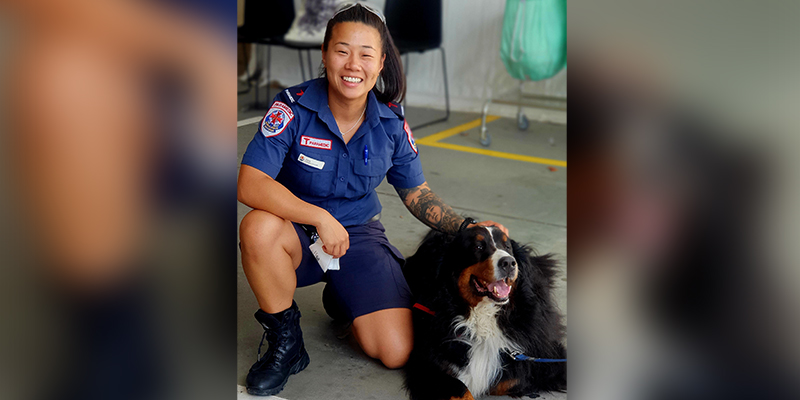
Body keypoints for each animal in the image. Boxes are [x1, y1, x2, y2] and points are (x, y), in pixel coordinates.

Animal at [404, 225, 564, 400]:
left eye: (507, 247)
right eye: (478, 247)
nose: (509, 262)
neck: (483, 317)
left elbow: (511, 380)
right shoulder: (426, 364)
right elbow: (462, 389)